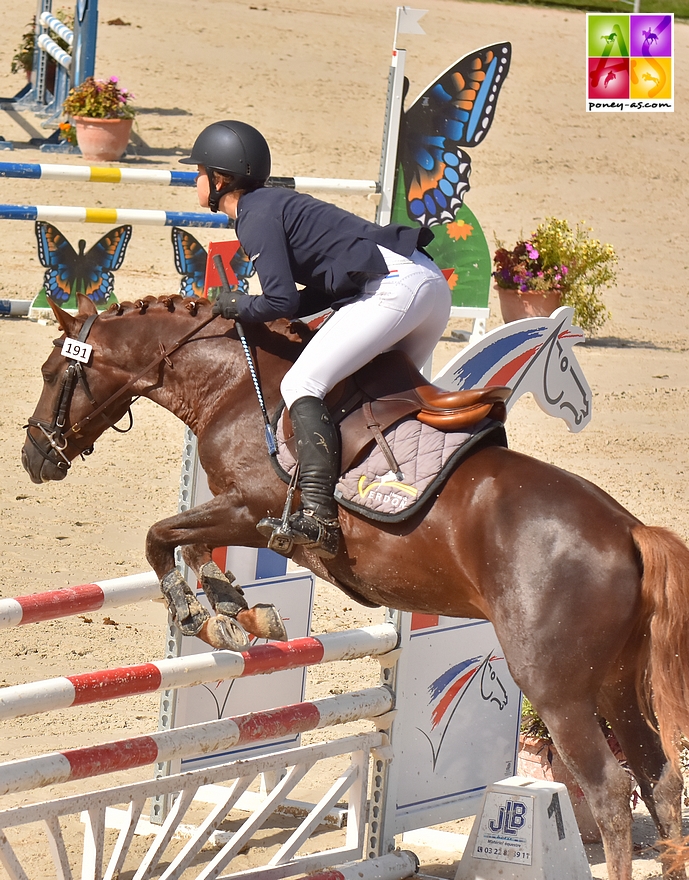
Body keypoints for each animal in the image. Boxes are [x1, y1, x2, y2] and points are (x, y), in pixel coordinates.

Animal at [21, 298, 688, 880]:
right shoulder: (237, 513)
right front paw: (239, 612)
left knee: (610, 788)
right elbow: (189, 548)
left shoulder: (251, 509)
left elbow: (162, 537)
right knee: (658, 777)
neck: (234, 384)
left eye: (53, 373)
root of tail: (630, 531)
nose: (33, 456)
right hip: (616, 684)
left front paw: (206, 616)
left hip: (557, 686)